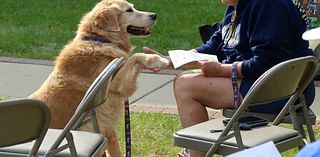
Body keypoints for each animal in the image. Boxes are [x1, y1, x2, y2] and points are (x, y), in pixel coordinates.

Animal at [29, 0, 169, 156]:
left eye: (133, 7)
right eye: (129, 10)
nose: (154, 15)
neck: (101, 40)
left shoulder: (108, 129)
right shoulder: (117, 83)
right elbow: (135, 56)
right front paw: (159, 60)